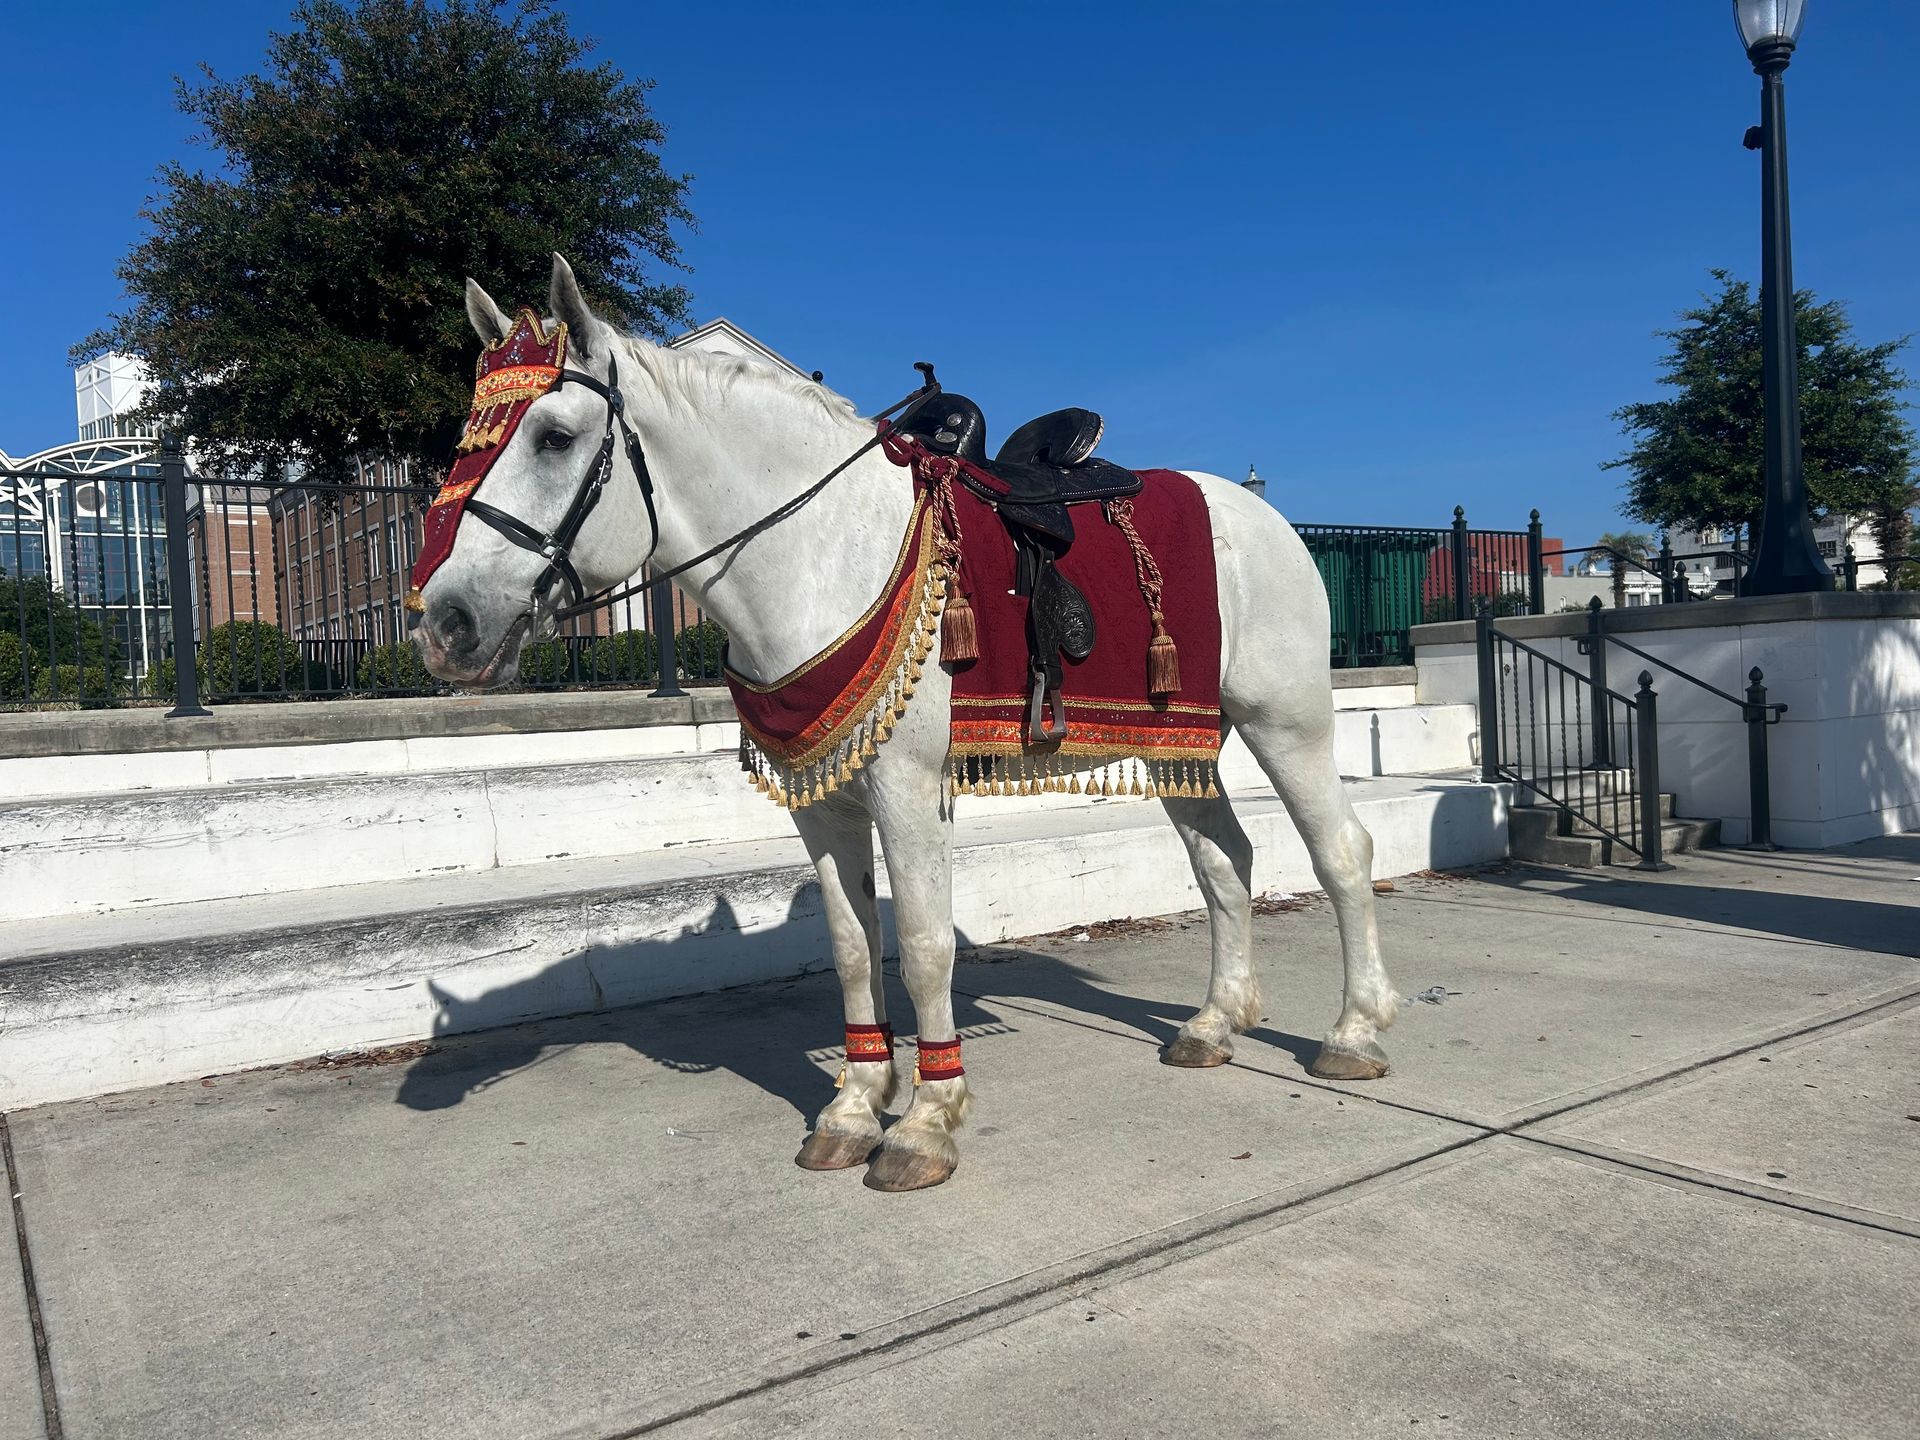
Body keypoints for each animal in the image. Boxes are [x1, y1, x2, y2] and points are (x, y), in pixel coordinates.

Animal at [412, 254, 1400, 1192]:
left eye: (555, 436)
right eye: (467, 441)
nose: (444, 622)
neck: (818, 556)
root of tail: (1264, 516)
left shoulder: (908, 789)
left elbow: (924, 946)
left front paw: (926, 1121)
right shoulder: (823, 799)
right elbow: (854, 948)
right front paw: (853, 1109)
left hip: (1288, 723)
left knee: (1341, 851)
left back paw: (1355, 1030)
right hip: (1178, 744)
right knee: (1223, 861)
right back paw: (1215, 1022)